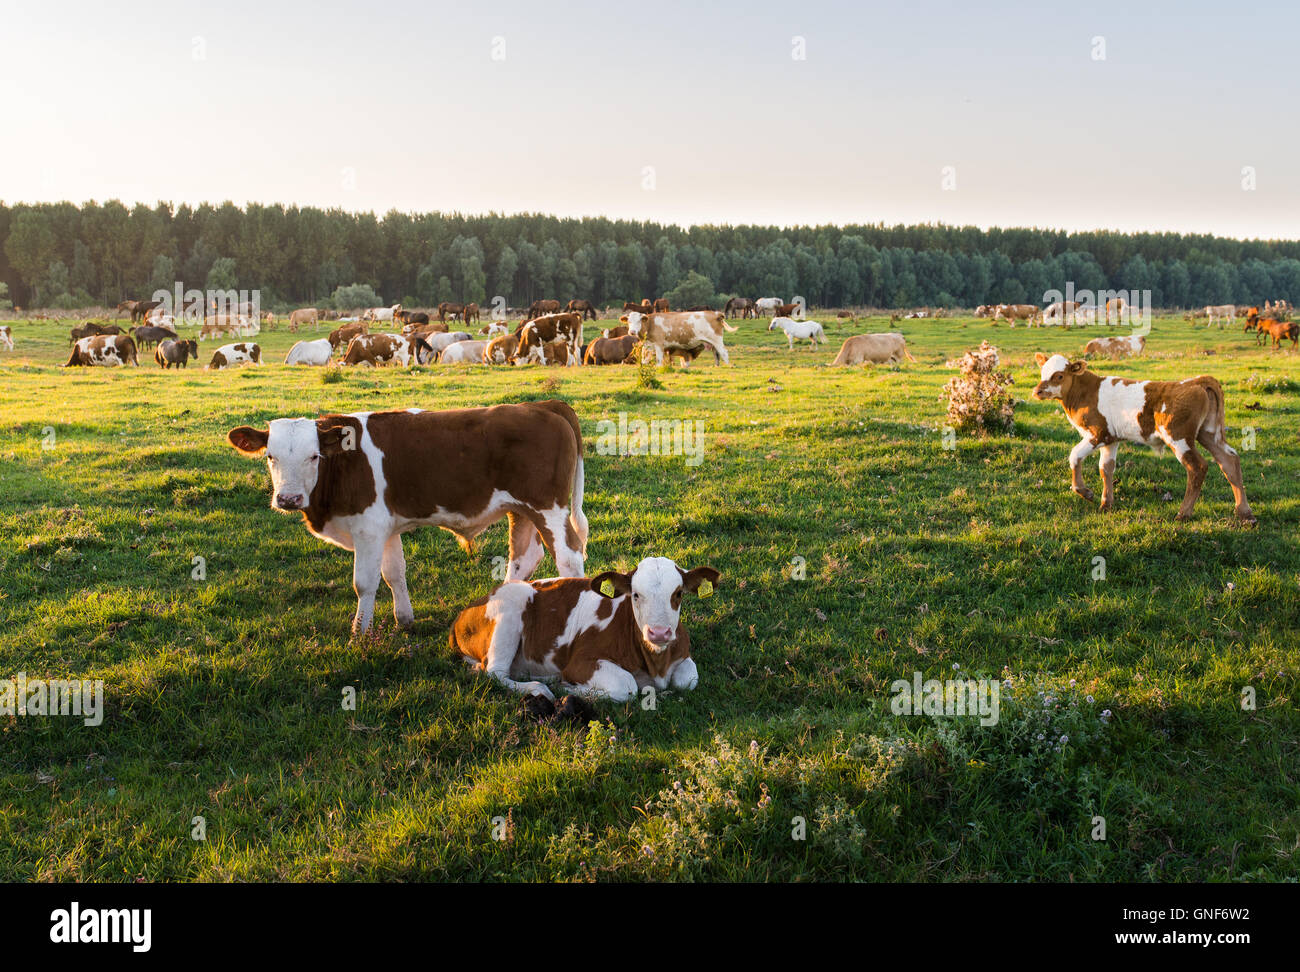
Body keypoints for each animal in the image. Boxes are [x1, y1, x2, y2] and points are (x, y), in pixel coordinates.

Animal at [226, 400, 587, 634]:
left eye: (314, 456)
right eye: (270, 457)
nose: (288, 498)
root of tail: (544, 404)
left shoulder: (368, 530)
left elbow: (364, 583)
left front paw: (359, 634)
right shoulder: (386, 529)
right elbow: (394, 574)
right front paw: (404, 619)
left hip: (548, 507)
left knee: (569, 557)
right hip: (522, 510)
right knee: (524, 558)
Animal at [1029, 356, 1253, 524]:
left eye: (1059, 375)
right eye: (1042, 373)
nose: (1037, 391)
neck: (1085, 392)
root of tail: (1195, 381)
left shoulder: (1098, 433)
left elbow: (1074, 455)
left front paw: (1085, 492)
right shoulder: (1111, 439)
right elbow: (1106, 468)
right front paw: (1106, 504)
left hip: (1178, 436)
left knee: (1198, 467)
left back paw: (1183, 514)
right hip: (1208, 433)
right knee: (1229, 460)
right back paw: (1245, 513)